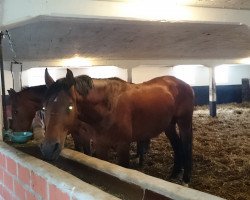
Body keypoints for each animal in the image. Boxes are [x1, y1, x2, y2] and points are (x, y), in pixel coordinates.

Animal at [41, 69, 194, 184]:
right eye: (44, 107)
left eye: (70, 106)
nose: (48, 148)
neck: (109, 107)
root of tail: (185, 84)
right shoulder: (101, 145)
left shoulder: (123, 146)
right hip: (169, 125)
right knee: (177, 146)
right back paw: (174, 175)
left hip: (184, 122)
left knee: (186, 146)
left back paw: (185, 179)